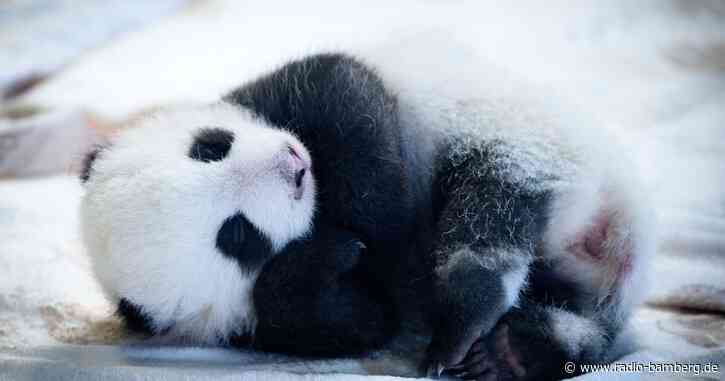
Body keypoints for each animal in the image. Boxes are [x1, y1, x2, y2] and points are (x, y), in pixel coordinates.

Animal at [82, 51, 652, 380]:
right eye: (237, 235)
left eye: (209, 148)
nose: (292, 167)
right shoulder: (261, 327)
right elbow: (364, 317)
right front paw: (327, 257)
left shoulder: (285, 94)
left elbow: (346, 94)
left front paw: (377, 222)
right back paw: (508, 346)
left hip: (531, 139)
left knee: (491, 205)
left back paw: (474, 326)